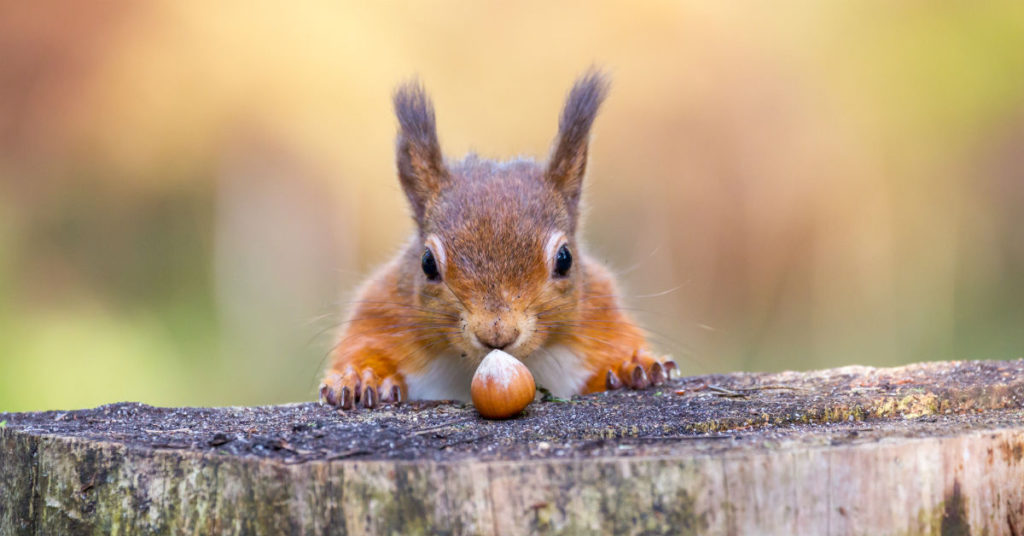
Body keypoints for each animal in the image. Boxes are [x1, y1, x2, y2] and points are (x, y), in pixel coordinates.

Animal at [319, 70, 675, 409]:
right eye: (427, 263)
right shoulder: (383, 312)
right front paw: (361, 377)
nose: (497, 333)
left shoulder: (600, 312)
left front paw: (632, 366)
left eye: (565, 259)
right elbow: (364, 344)